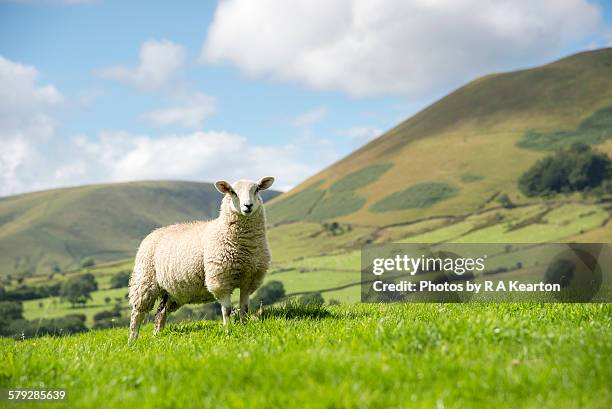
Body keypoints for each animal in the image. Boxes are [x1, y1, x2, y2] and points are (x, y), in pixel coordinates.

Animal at [128, 175, 276, 342]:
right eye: (232, 192)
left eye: (257, 189)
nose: (248, 206)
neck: (246, 246)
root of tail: (153, 232)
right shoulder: (220, 279)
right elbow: (227, 309)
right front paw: (228, 330)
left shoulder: (249, 279)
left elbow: (244, 308)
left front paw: (244, 327)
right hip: (144, 281)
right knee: (137, 313)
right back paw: (132, 340)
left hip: (173, 291)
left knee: (161, 311)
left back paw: (157, 336)